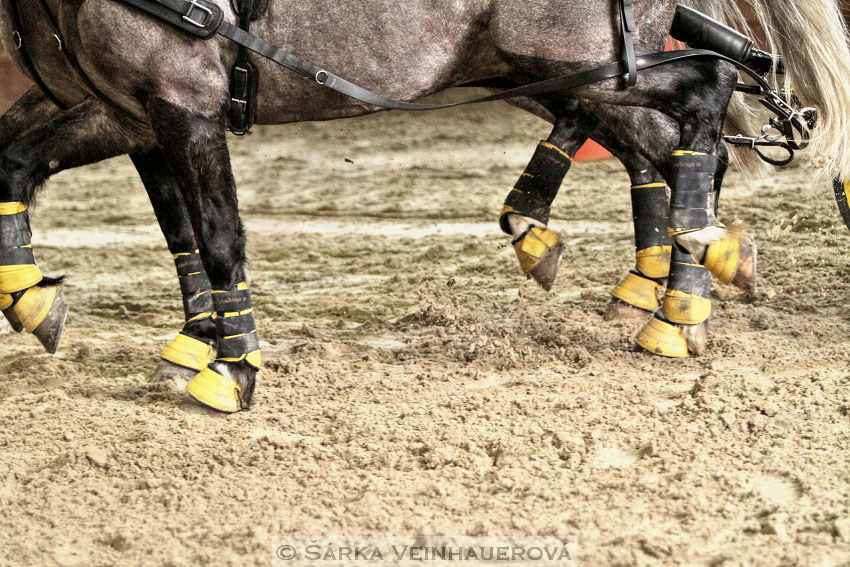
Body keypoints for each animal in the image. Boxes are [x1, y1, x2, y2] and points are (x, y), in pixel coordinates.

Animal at [1, 0, 848, 412]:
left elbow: (215, 234)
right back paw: (672, 285)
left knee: (706, 91)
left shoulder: (179, 97)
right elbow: (22, 165)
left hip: (580, 59)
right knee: (662, 136)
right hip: (548, 66)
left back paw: (685, 274)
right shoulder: (124, 107)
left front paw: (232, 366)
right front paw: (43, 299)